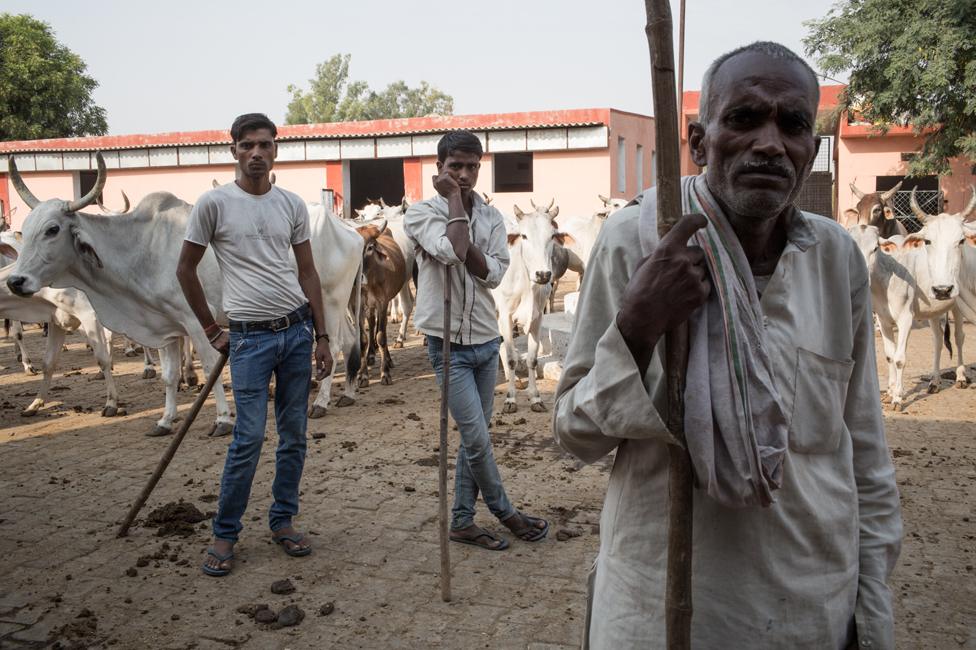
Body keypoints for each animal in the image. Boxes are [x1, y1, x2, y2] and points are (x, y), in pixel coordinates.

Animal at [496, 200, 572, 412]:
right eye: (524, 235)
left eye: (552, 235)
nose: (543, 274)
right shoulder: (505, 316)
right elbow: (512, 358)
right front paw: (510, 399)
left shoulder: (537, 318)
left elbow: (531, 359)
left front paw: (535, 397)